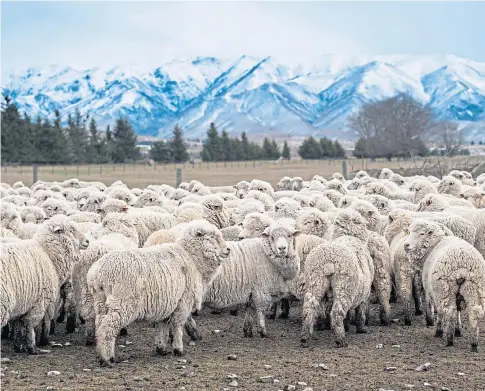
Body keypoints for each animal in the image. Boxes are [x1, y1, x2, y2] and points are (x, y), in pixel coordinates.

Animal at [0, 216, 87, 354]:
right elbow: (30, 325)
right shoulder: (40, 301)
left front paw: (19, 347)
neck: (48, 254)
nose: (87, 241)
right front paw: (32, 347)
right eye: (71, 229)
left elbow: (19, 326)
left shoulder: (24, 304)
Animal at [72, 213, 140, 344]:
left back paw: (89, 336)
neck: (115, 232)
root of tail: (93, 254)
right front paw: (123, 329)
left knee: (88, 311)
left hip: (83, 287)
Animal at [87, 220, 231, 364]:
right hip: (123, 302)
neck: (191, 258)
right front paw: (178, 349)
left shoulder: (167, 303)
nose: (228, 249)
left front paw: (161, 348)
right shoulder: (184, 301)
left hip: (101, 302)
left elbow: (163, 327)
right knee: (108, 326)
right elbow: (178, 325)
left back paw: (100, 354)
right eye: (213, 237)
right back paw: (107, 358)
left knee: (99, 324)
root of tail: (97, 273)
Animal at [298, 210, 374, 348]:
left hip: (315, 282)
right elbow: (360, 312)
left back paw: (305, 337)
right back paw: (340, 339)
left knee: (309, 308)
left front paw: (347, 326)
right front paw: (361, 329)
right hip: (344, 287)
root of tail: (329, 260)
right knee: (337, 312)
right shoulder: (365, 294)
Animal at [400, 220, 484, 352]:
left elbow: (436, 310)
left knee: (449, 311)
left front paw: (439, 329)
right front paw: (458, 330)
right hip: (474, 288)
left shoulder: (432, 290)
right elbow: (458, 310)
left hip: (444, 289)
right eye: (409, 232)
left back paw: (449, 339)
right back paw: (474, 344)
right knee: (474, 312)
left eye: (422, 233)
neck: (434, 245)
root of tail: (462, 265)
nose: (406, 245)